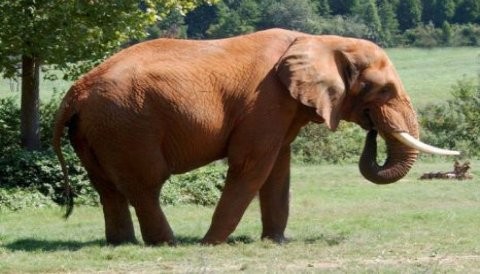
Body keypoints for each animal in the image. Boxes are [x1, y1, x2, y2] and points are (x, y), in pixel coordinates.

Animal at [52, 28, 458, 246]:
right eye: (384, 90)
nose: (372, 130)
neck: (320, 41)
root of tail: (75, 92)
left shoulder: (282, 108)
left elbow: (279, 169)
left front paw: (276, 242)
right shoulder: (266, 101)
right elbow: (252, 165)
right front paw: (212, 245)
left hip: (96, 130)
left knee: (108, 188)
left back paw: (122, 243)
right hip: (127, 125)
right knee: (145, 184)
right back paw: (167, 244)